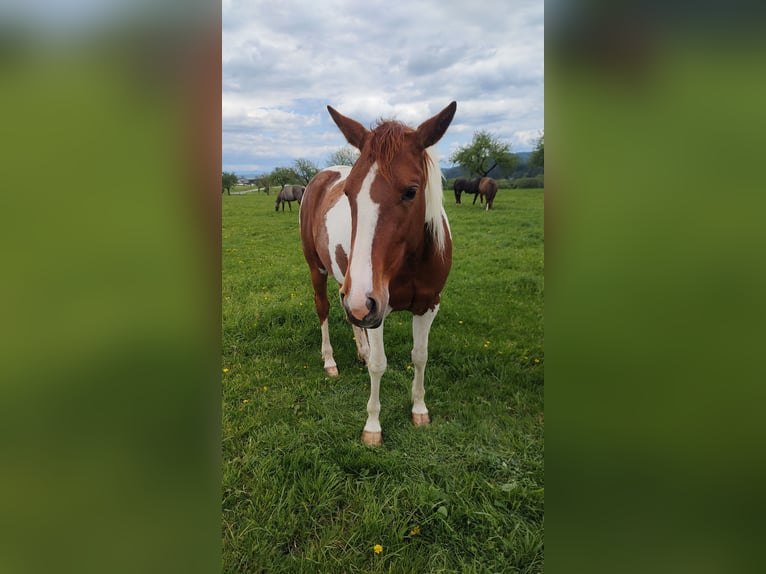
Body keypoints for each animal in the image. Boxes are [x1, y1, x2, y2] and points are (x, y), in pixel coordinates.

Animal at [300, 101, 457, 445]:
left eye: (411, 191)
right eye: (348, 193)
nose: (362, 302)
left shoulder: (428, 304)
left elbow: (420, 355)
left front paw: (419, 410)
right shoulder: (374, 307)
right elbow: (378, 364)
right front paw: (372, 426)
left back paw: (359, 347)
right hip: (320, 270)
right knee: (324, 308)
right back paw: (329, 361)